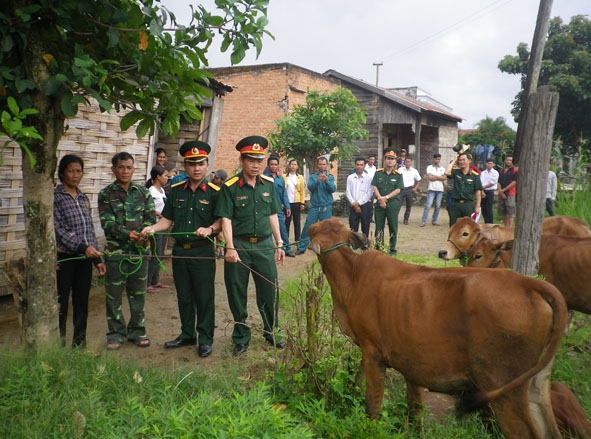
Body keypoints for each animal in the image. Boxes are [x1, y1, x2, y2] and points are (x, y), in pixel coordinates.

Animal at [308, 220, 568, 439]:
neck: (353, 274)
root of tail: (530, 283)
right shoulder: (410, 362)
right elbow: (415, 409)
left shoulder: (372, 352)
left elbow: (372, 405)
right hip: (536, 386)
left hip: (504, 387)